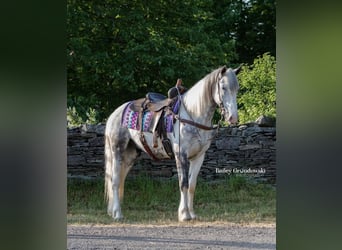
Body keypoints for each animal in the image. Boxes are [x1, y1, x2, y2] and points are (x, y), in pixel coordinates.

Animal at [104, 65, 240, 222]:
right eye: (223, 87)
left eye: (237, 88)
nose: (233, 118)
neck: (193, 115)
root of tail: (115, 114)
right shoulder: (181, 155)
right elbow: (183, 184)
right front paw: (185, 215)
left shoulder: (199, 157)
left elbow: (192, 185)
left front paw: (191, 213)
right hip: (117, 151)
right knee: (114, 181)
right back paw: (118, 214)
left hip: (130, 156)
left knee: (120, 180)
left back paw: (113, 211)